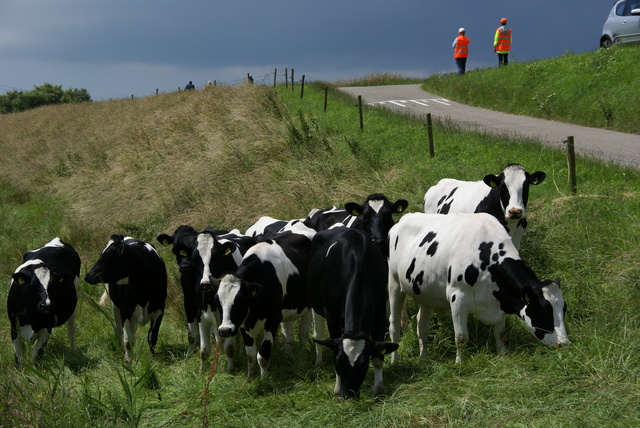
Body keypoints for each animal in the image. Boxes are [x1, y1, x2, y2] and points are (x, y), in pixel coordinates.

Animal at [85, 234, 168, 362]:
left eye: (106, 257)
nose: (87, 276)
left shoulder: (159, 310)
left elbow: (152, 337)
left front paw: (151, 361)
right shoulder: (126, 311)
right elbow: (128, 340)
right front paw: (129, 361)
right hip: (115, 306)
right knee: (119, 330)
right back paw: (121, 351)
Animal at [215, 222, 316, 380]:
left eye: (240, 302)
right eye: (218, 302)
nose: (225, 330)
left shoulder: (272, 320)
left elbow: (263, 354)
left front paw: (264, 380)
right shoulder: (244, 323)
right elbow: (250, 355)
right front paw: (250, 378)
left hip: (307, 306)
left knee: (303, 332)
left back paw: (300, 356)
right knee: (288, 334)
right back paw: (287, 357)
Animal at [308, 229, 398, 400]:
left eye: (363, 365)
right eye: (339, 362)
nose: (349, 395)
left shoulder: (380, 312)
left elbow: (378, 358)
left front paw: (378, 391)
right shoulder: (331, 316)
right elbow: (333, 348)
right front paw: (337, 390)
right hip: (316, 305)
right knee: (318, 334)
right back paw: (317, 364)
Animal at [388, 212, 568, 362]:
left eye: (564, 309)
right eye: (544, 310)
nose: (564, 343)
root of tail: (403, 219)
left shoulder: (499, 303)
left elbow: (500, 333)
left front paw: (502, 357)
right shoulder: (458, 298)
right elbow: (461, 337)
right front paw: (459, 364)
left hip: (426, 294)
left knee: (422, 325)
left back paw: (423, 359)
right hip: (394, 283)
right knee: (394, 326)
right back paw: (394, 361)